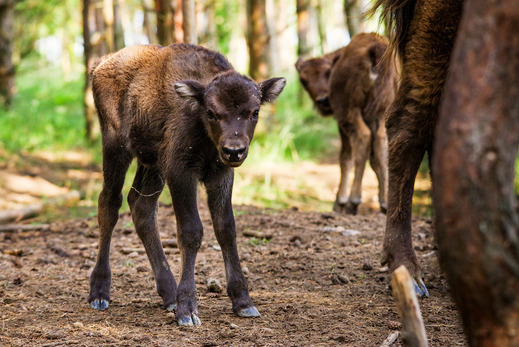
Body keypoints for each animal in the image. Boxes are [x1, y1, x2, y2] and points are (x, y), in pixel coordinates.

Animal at [87, 42, 286, 326]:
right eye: (212, 112)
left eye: (254, 111)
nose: (234, 151)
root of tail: (101, 64)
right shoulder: (180, 172)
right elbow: (191, 232)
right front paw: (188, 310)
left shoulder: (221, 174)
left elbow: (226, 228)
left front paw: (243, 302)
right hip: (116, 146)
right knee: (109, 204)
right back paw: (100, 293)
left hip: (151, 163)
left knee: (141, 207)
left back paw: (169, 294)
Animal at [296, 34, 398, 216]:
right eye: (303, 80)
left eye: (327, 73)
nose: (323, 100)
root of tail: (374, 49)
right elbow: (374, 159)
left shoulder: (342, 122)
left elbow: (346, 157)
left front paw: (340, 202)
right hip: (383, 111)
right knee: (382, 143)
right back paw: (386, 203)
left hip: (350, 113)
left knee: (363, 139)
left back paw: (353, 202)